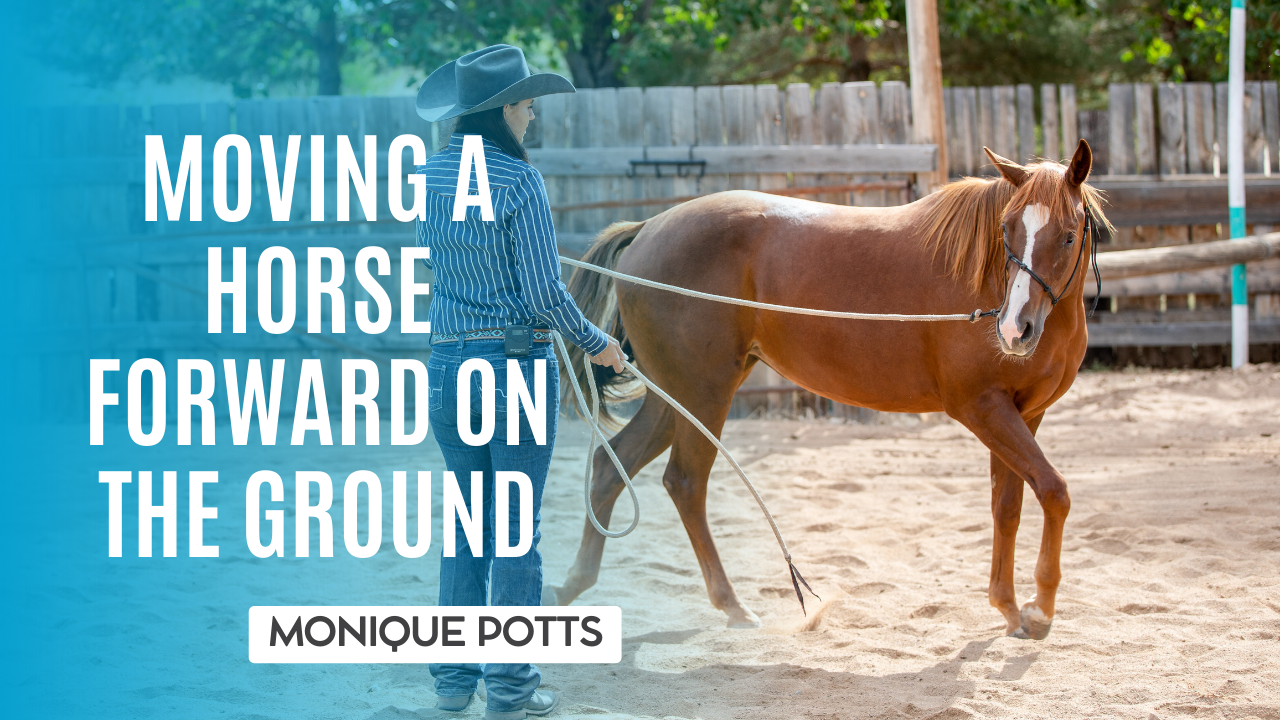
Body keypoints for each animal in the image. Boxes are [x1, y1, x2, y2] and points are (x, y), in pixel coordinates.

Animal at [548, 140, 1109, 640]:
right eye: (1007, 229)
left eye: (1067, 235)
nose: (1014, 330)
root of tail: (647, 229)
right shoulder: (982, 408)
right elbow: (1055, 491)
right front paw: (1040, 609)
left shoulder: (1023, 414)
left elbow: (1009, 506)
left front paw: (1010, 608)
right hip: (703, 393)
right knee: (685, 482)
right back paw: (731, 605)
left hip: (678, 396)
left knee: (611, 466)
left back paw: (575, 585)